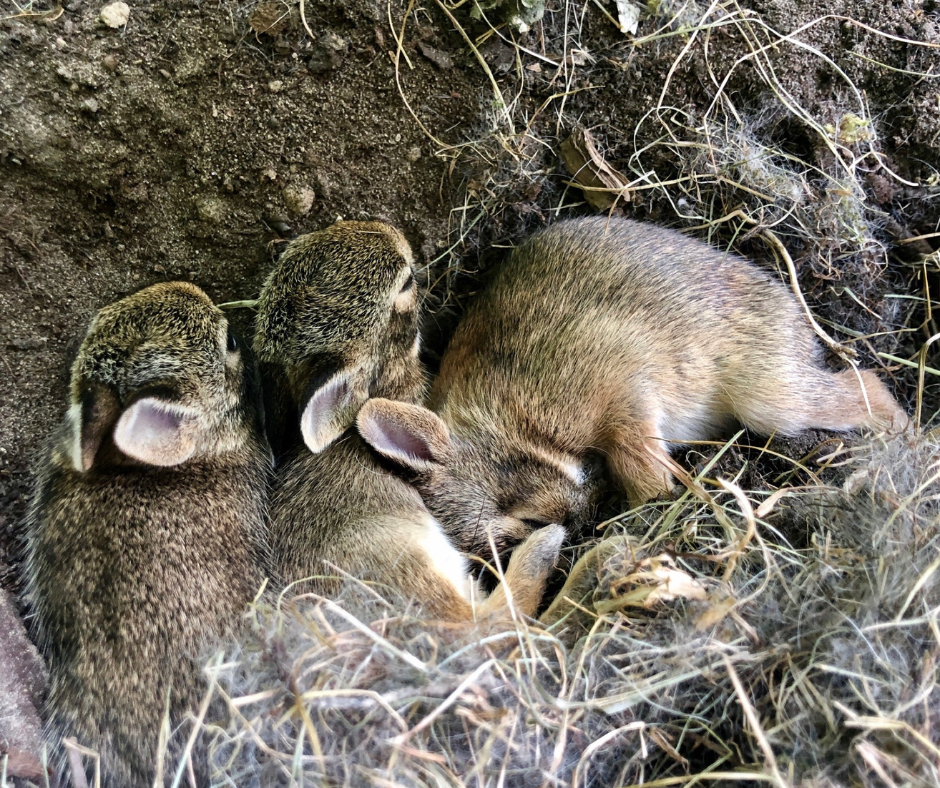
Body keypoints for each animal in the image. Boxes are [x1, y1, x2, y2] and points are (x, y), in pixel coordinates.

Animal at [355, 216, 909, 557]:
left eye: (525, 521)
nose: (578, 524)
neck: (515, 428)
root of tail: (790, 310)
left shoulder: (621, 393)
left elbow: (635, 456)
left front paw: (654, 498)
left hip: (769, 398)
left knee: (862, 387)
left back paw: (903, 432)